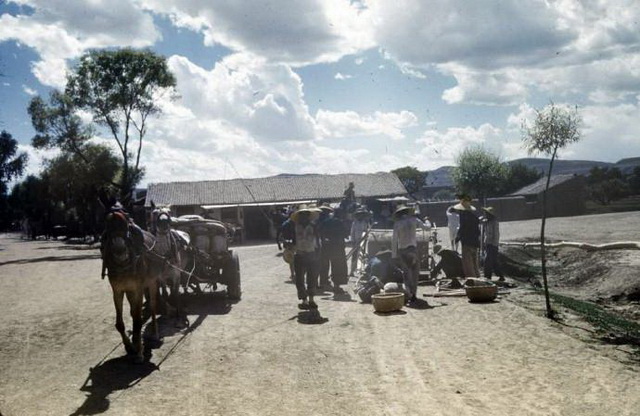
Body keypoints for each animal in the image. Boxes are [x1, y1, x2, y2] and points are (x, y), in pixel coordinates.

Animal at [100, 210, 161, 362]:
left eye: (126, 228)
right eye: (108, 231)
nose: (120, 250)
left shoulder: (138, 289)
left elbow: (138, 321)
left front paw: (139, 353)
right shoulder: (118, 290)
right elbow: (120, 323)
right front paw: (130, 346)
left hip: (152, 283)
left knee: (152, 307)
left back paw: (155, 334)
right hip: (129, 291)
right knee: (134, 312)